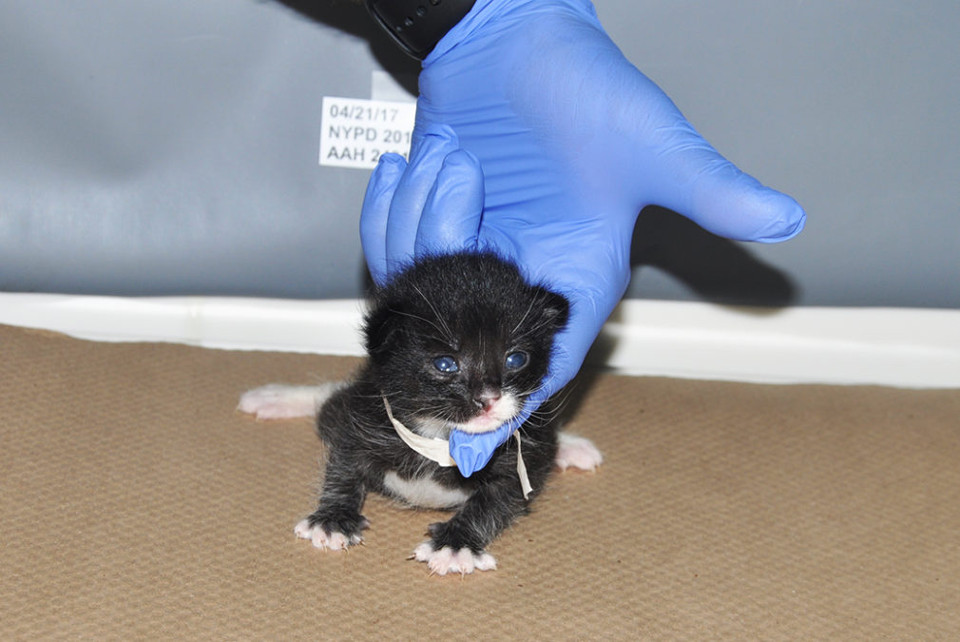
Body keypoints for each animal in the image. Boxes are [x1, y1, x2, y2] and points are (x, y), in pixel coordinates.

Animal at [240, 251, 600, 576]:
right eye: (445, 363)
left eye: (515, 359)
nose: (489, 399)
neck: (439, 434)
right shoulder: (363, 417)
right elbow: (343, 467)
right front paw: (333, 520)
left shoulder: (518, 459)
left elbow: (495, 501)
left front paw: (455, 545)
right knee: (330, 403)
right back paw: (275, 398)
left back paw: (572, 447)